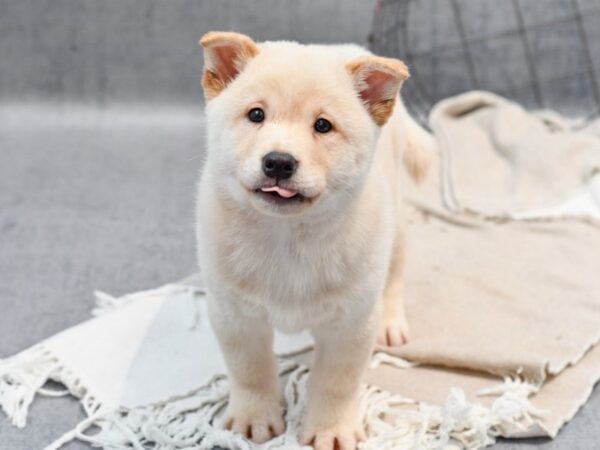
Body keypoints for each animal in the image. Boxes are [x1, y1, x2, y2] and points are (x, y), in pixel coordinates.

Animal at [197, 29, 432, 448]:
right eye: (256, 115)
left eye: (323, 126)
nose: (278, 161)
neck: (288, 238)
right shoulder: (234, 313)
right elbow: (249, 371)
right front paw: (254, 419)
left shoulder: (350, 323)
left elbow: (336, 384)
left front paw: (330, 430)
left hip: (396, 231)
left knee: (394, 276)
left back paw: (391, 322)